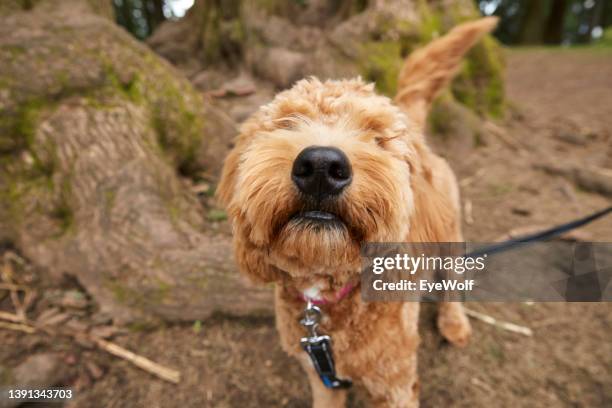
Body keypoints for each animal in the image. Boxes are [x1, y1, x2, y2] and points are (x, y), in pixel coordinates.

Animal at [219, 16, 498, 408]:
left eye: (377, 136)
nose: (321, 166)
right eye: (288, 122)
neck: (328, 295)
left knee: (454, 278)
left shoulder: (396, 385)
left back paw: (454, 322)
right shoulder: (322, 377)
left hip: (450, 230)